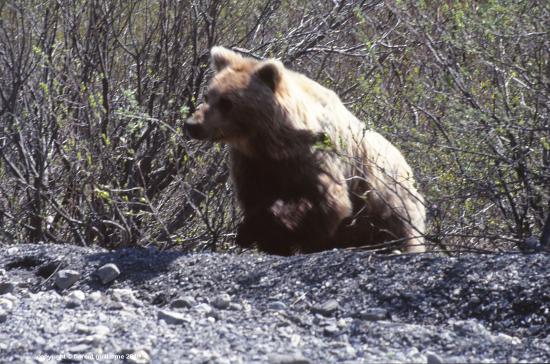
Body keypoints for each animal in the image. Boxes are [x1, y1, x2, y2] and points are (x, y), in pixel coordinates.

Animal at [185, 46, 426, 256]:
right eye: (208, 96)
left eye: (227, 102)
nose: (192, 124)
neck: (271, 141)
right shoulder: (252, 162)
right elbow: (254, 197)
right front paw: (258, 235)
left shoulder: (315, 155)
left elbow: (327, 201)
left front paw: (263, 227)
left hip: (390, 206)